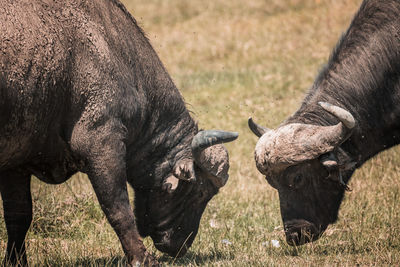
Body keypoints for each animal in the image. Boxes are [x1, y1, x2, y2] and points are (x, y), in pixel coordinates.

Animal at [0, 0, 238, 266]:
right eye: (201, 192)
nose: (181, 246)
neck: (117, 54)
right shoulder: (102, 142)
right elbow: (118, 208)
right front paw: (141, 257)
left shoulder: (15, 161)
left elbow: (19, 215)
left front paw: (16, 260)